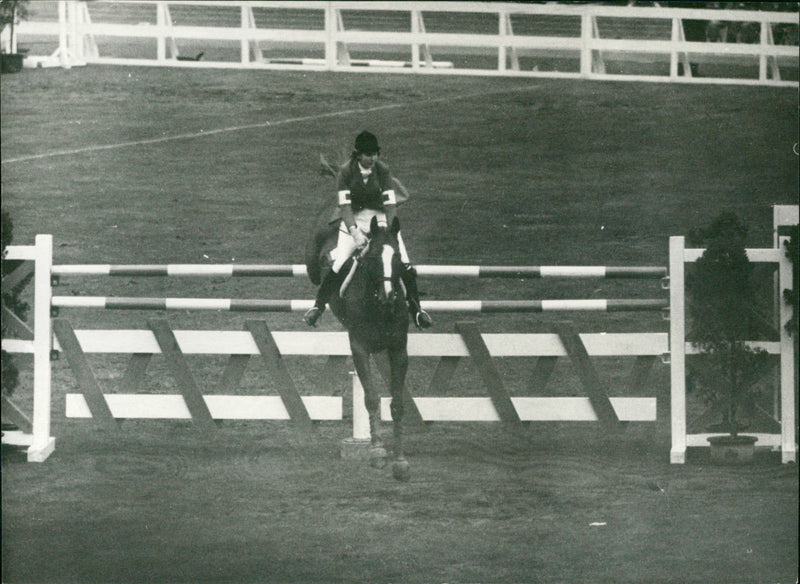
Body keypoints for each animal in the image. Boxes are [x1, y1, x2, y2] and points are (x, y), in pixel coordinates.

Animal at [304, 214, 410, 480]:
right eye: (373, 258)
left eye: (397, 258)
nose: (388, 296)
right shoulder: (359, 348)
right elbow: (371, 398)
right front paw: (377, 450)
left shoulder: (399, 350)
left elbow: (397, 404)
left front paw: (400, 460)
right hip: (314, 260)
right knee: (318, 274)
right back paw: (315, 309)